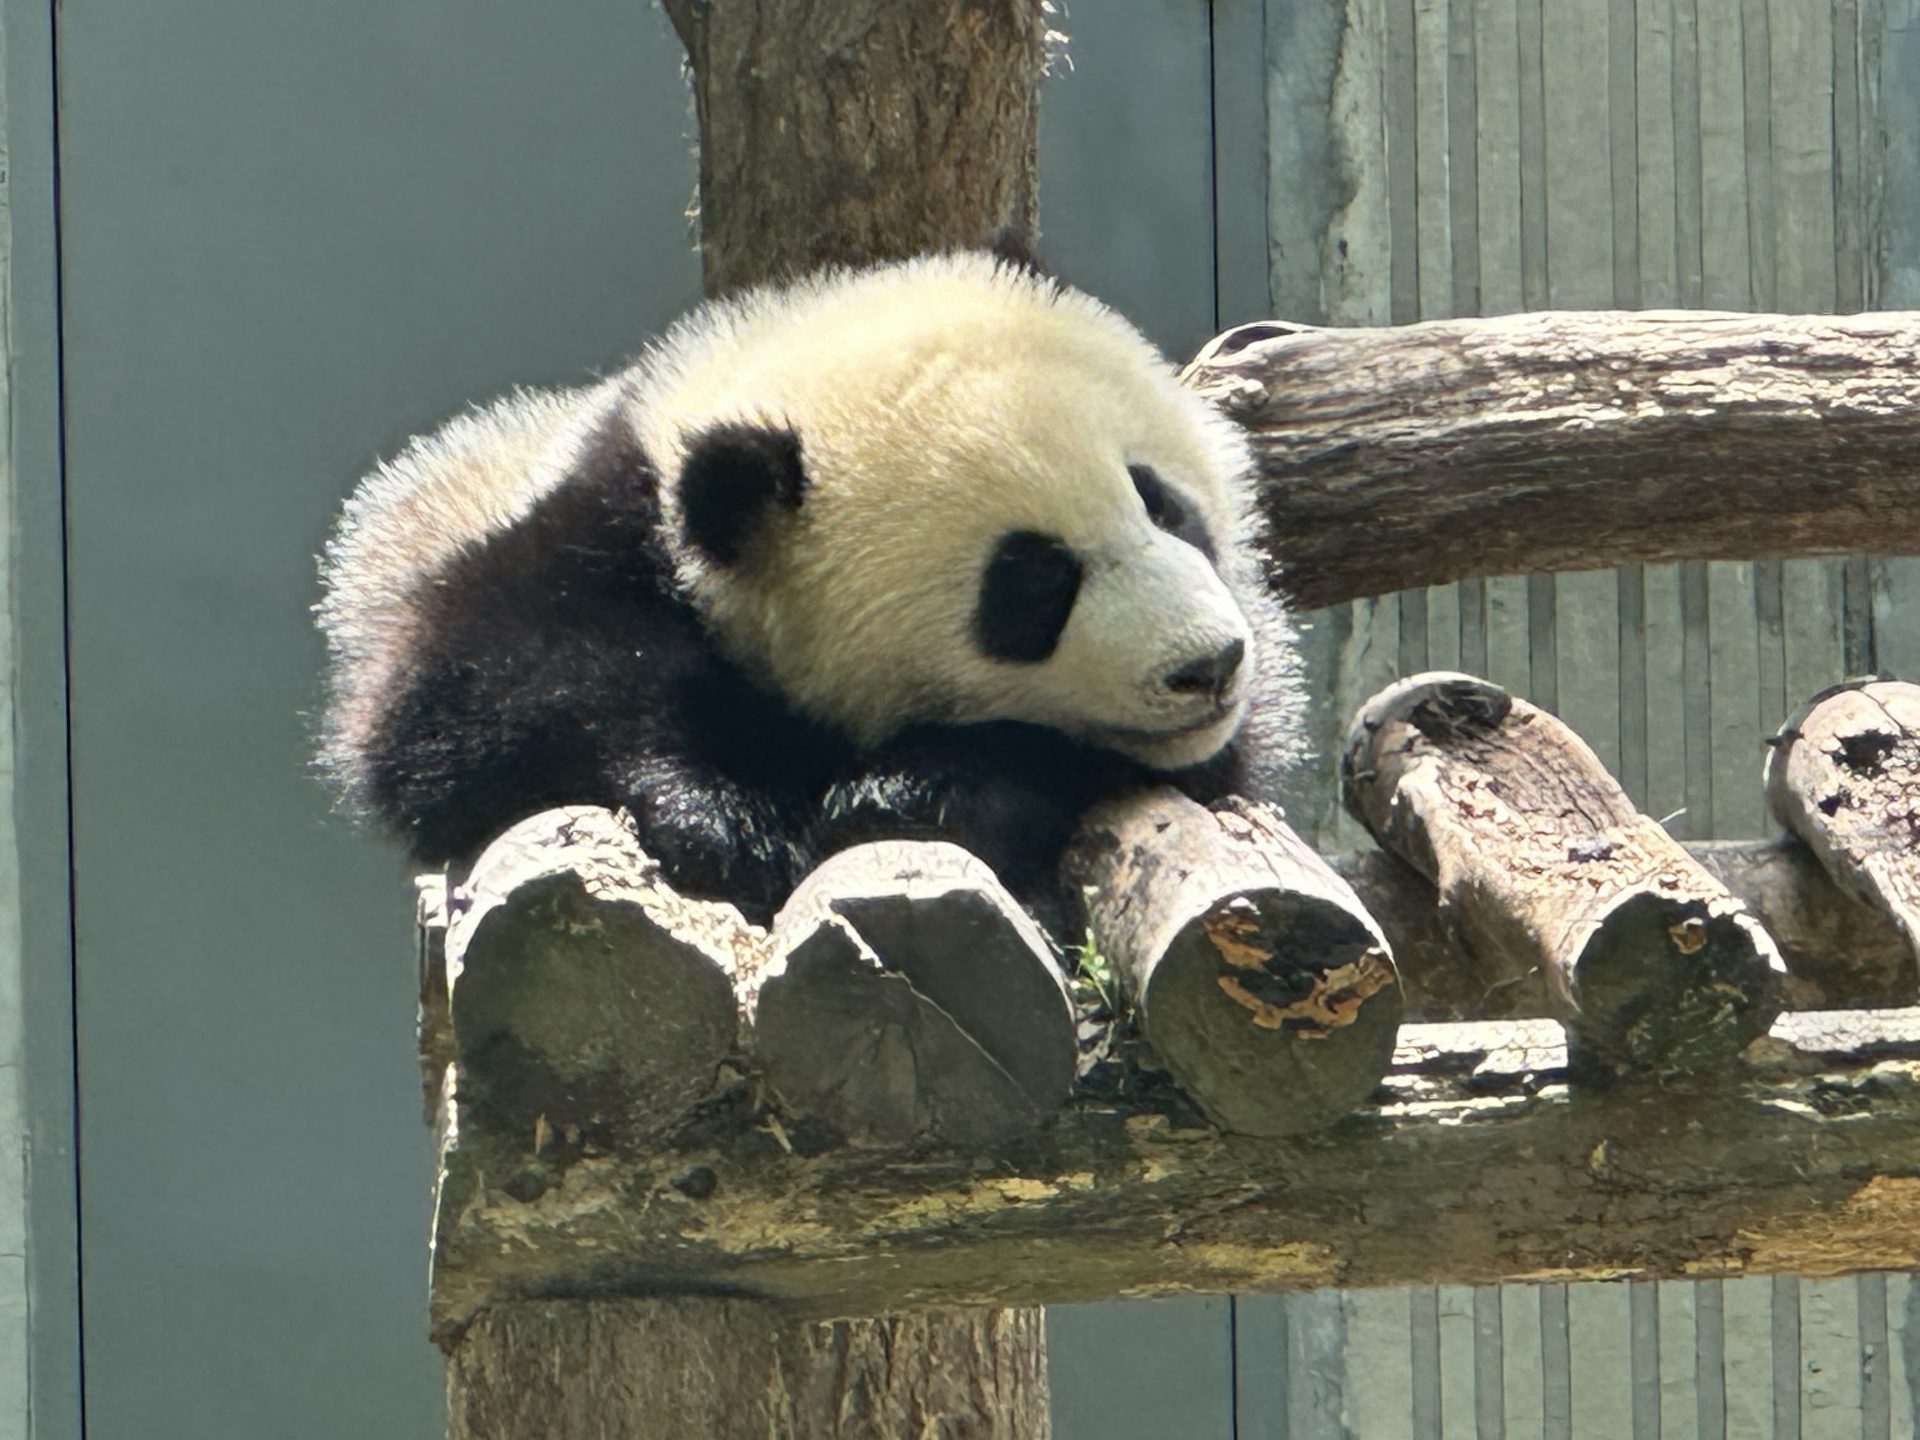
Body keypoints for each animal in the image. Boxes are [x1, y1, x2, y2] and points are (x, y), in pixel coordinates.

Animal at [318, 251, 1305, 929]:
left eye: (1162, 503)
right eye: (1031, 587)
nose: (1209, 665)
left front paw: (908, 790)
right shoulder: (564, 534)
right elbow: (458, 713)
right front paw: (722, 817)